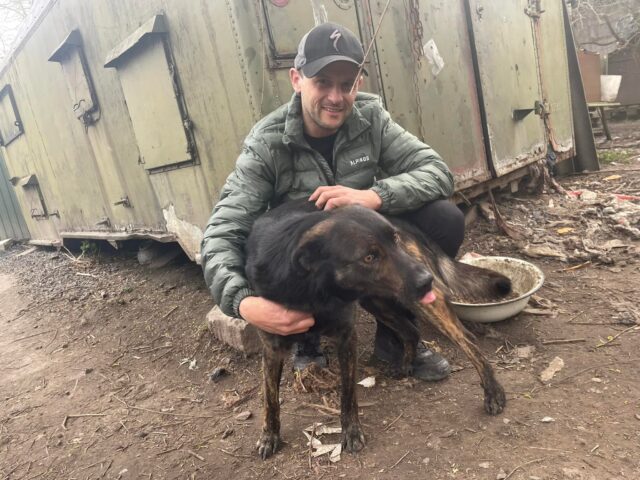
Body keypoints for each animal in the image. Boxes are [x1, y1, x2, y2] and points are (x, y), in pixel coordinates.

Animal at [245, 198, 510, 458]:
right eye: (369, 257)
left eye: (394, 240)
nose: (427, 281)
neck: (312, 289)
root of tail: (402, 221)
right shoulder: (272, 345)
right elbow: (270, 398)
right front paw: (269, 436)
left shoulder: (346, 336)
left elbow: (348, 393)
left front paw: (351, 432)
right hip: (377, 301)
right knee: (411, 331)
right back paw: (405, 364)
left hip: (415, 302)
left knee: (466, 338)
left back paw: (493, 391)